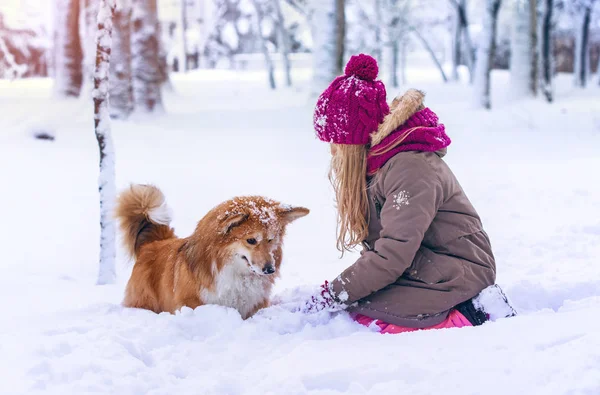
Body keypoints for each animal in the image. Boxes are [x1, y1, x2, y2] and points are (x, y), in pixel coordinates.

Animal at [115, 185, 310, 318]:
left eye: (271, 239)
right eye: (251, 240)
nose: (270, 270)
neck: (234, 272)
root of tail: (155, 242)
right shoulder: (192, 303)